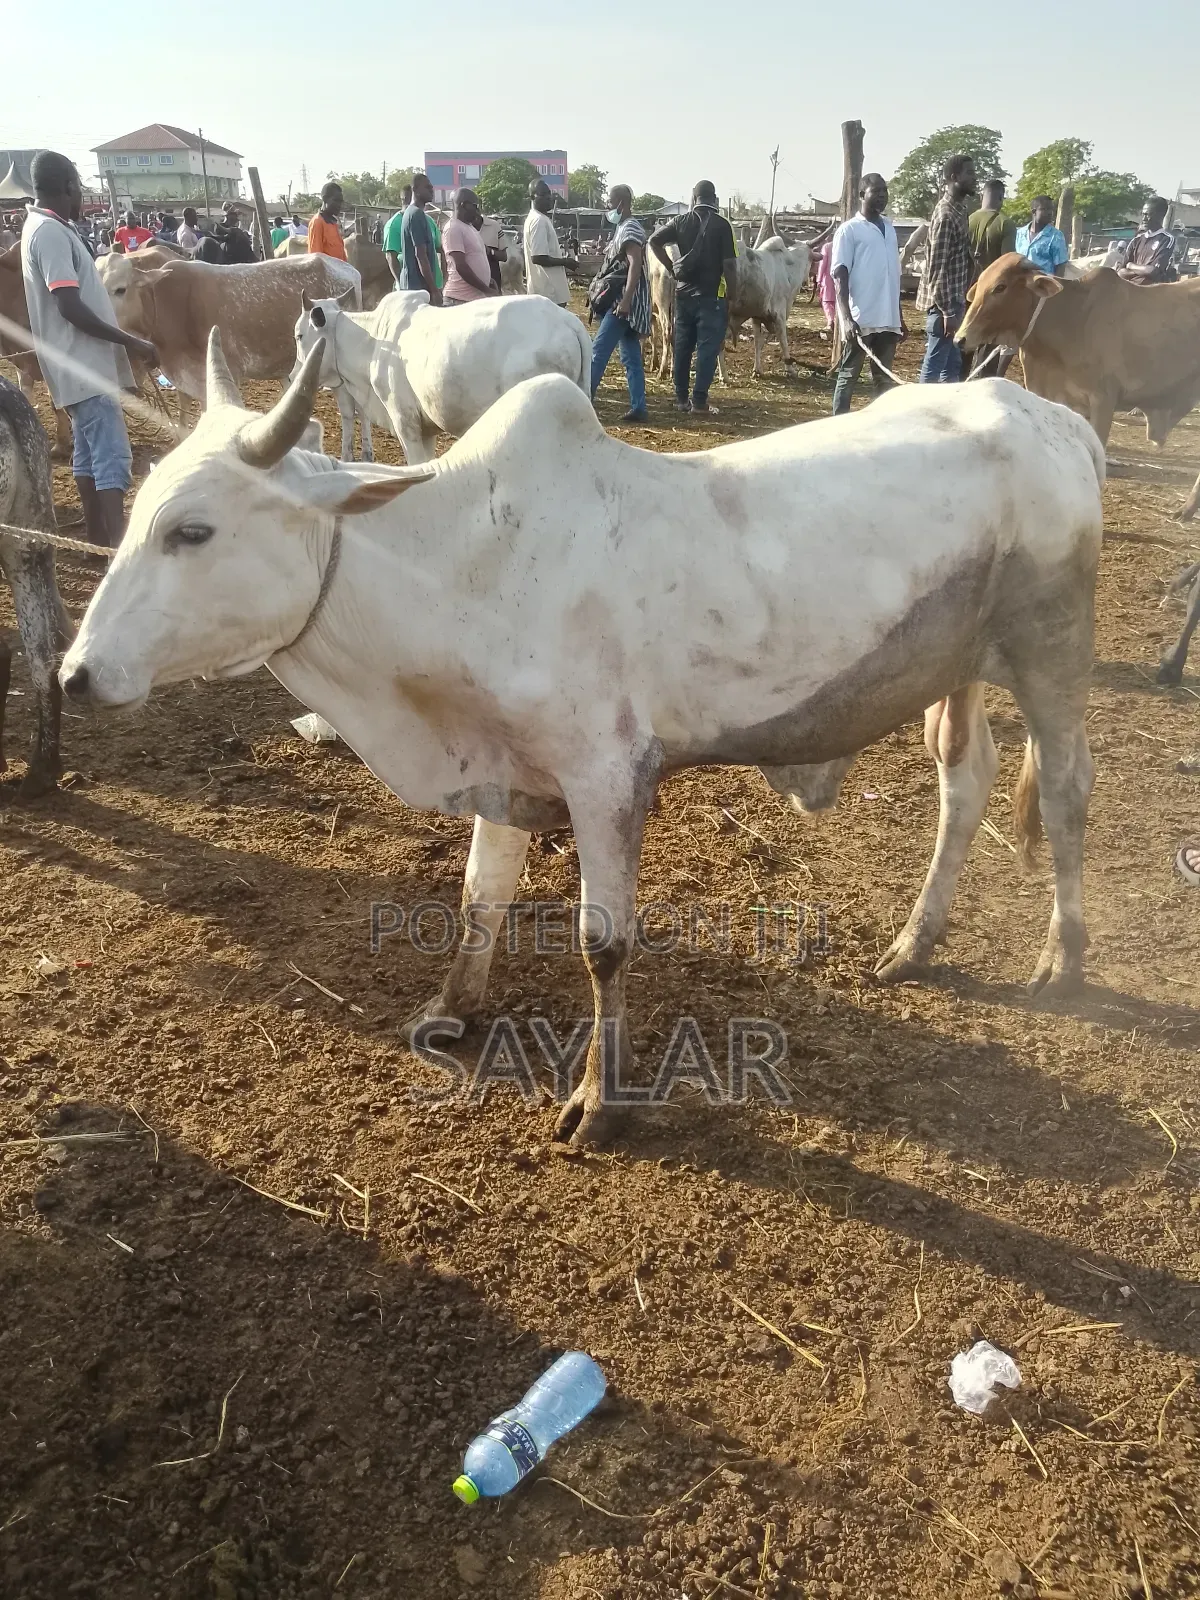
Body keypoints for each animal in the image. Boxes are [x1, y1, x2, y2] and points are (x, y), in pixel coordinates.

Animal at [60, 335, 1103, 1148]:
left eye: (193, 530)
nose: (76, 675)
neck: (457, 561)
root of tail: (1056, 420)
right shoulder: (501, 764)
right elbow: (479, 897)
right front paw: (449, 1009)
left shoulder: (606, 775)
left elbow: (603, 943)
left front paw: (600, 1101)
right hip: (959, 668)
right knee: (966, 782)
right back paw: (916, 940)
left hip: (1052, 655)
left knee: (1065, 792)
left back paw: (1065, 961)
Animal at [293, 290, 592, 464]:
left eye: (298, 335)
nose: (294, 374)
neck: (372, 341)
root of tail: (567, 320)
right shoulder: (425, 429)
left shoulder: (406, 423)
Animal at [725, 237, 812, 376]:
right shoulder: (779, 314)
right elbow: (783, 340)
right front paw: (790, 368)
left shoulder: (757, 316)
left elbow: (758, 342)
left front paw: (757, 369)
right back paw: (724, 376)